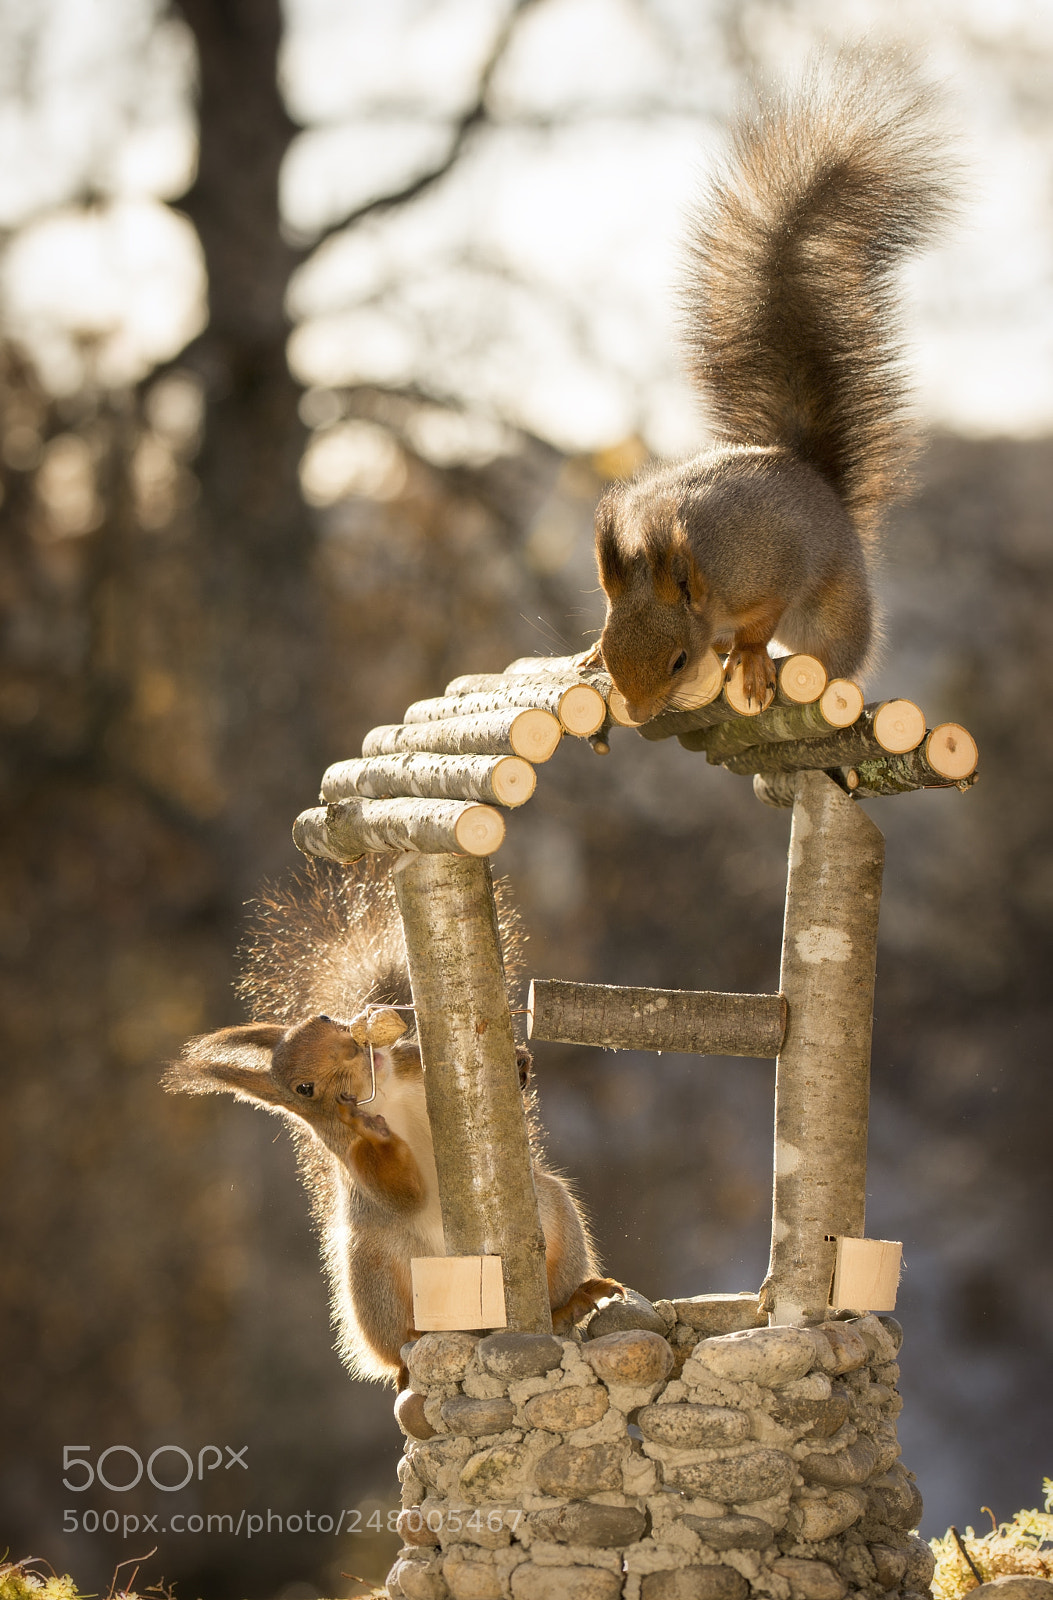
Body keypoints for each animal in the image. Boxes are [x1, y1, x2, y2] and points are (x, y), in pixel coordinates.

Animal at [165, 858, 620, 1388]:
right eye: (305, 1090)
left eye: (325, 1017)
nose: (356, 1048)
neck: (389, 1093)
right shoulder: (347, 1153)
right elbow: (403, 1192)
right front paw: (371, 1132)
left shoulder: (410, 1063)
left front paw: (521, 1063)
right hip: (374, 1268)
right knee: (395, 1347)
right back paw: (413, 1348)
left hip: (555, 1213)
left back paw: (570, 1303)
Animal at [594, 55, 958, 722]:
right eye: (609, 651)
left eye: (678, 661)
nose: (638, 714)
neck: (690, 562)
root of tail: (818, 483)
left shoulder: (767, 573)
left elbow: (760, 622)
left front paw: (750, 656)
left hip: (834, 613)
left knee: (836, 655)